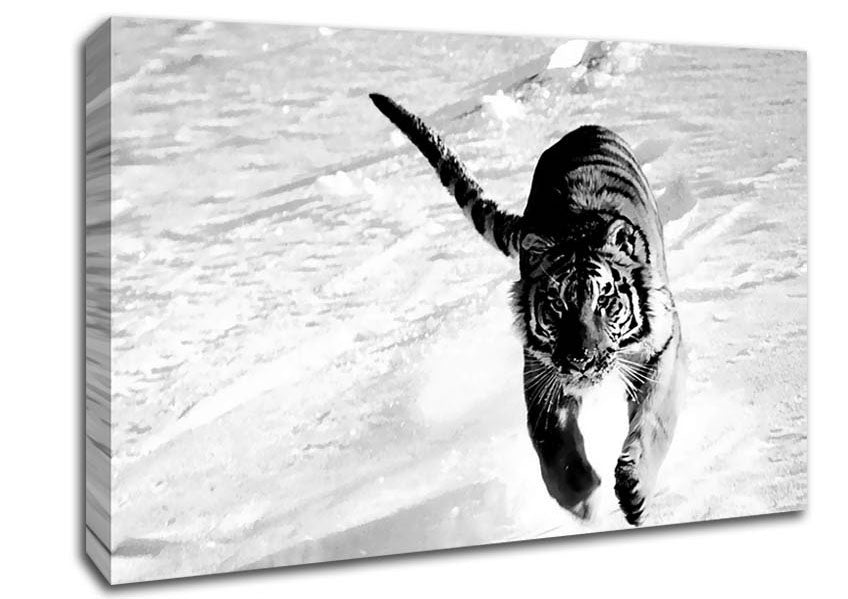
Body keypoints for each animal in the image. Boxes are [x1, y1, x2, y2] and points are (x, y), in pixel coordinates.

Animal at [369, 92, 683, 526]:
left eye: (605, 301)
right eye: (557, 306)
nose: (582, 360)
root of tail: (581, 129)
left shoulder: (660, 347)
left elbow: (654, 420)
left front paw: (634, 491)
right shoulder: (539, 371)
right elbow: (550, 444)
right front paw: (582, 499)